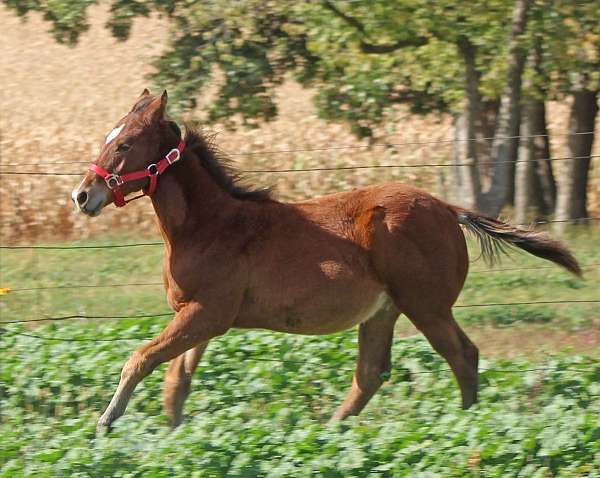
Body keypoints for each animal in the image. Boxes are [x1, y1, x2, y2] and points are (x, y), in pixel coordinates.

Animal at [71, 89, 580, 430]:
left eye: (124, 144)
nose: (82, 196)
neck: (209, 226)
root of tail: (447, 208)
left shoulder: (206, 313)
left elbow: (140, 359)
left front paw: (105, 423)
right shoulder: (201, 316)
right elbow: (177, 380)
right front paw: (174, 434)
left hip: (427, 305)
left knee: (462, 355)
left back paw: (464, 426)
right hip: (383, 311)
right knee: (370, 374)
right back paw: (333, 433)